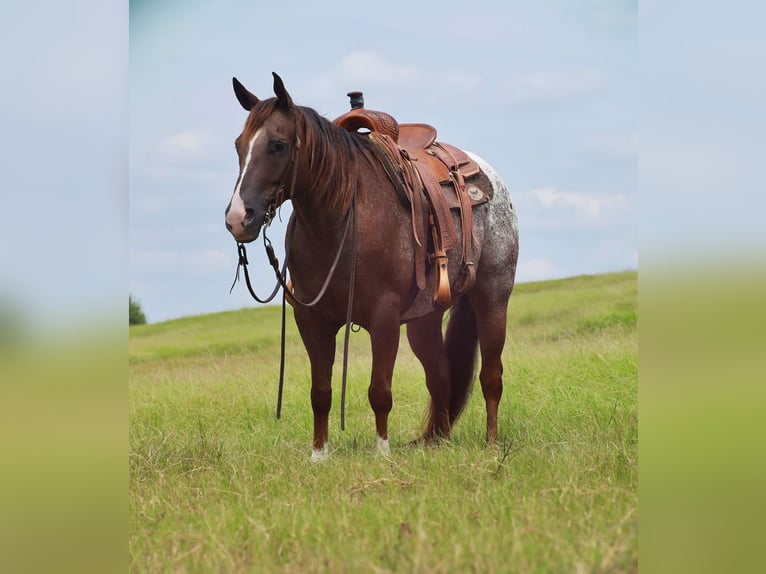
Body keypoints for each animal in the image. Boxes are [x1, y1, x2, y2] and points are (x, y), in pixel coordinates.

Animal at [225, 73, 520, 464]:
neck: (338, 223)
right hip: (424, 321)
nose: (238, 219)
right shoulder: (312, 319)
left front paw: (382, 452)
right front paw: (319, 455)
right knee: (440, 376)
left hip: (492, 298)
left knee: (491, 376)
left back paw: (491, 444)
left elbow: (380, 390)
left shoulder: (384, 317)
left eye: (278, 145)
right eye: (238, 145)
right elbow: (321, 391)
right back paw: (437, 443)